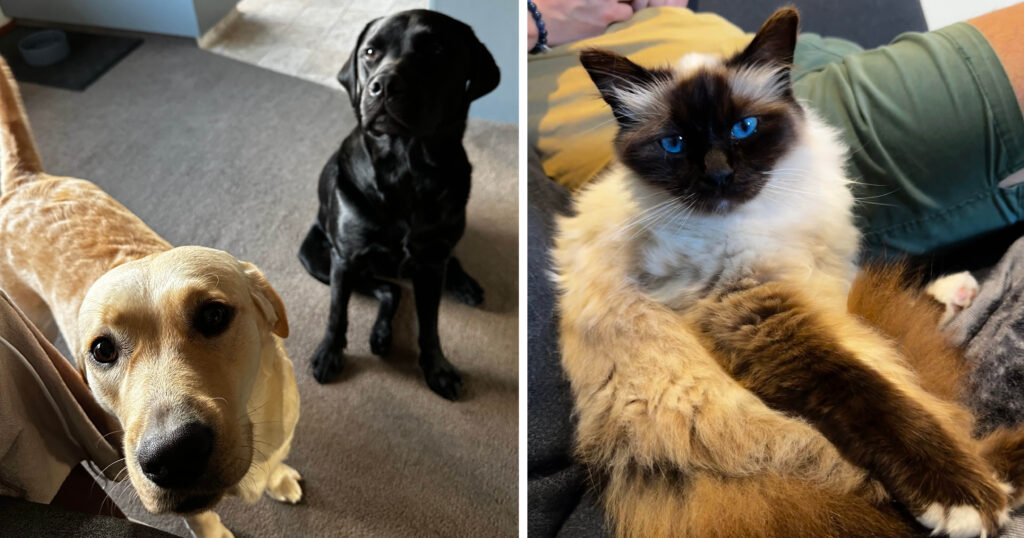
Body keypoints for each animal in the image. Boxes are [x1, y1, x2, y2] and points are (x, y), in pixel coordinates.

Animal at [557, 8, 1024, 536]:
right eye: (673, 145)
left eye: (744, 128)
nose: (719, 175)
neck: (766, 216)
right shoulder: (758, 317)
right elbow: (867, 393)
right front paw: (961, 497)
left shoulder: (826, 279)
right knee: (946, 442)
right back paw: (989, 485)